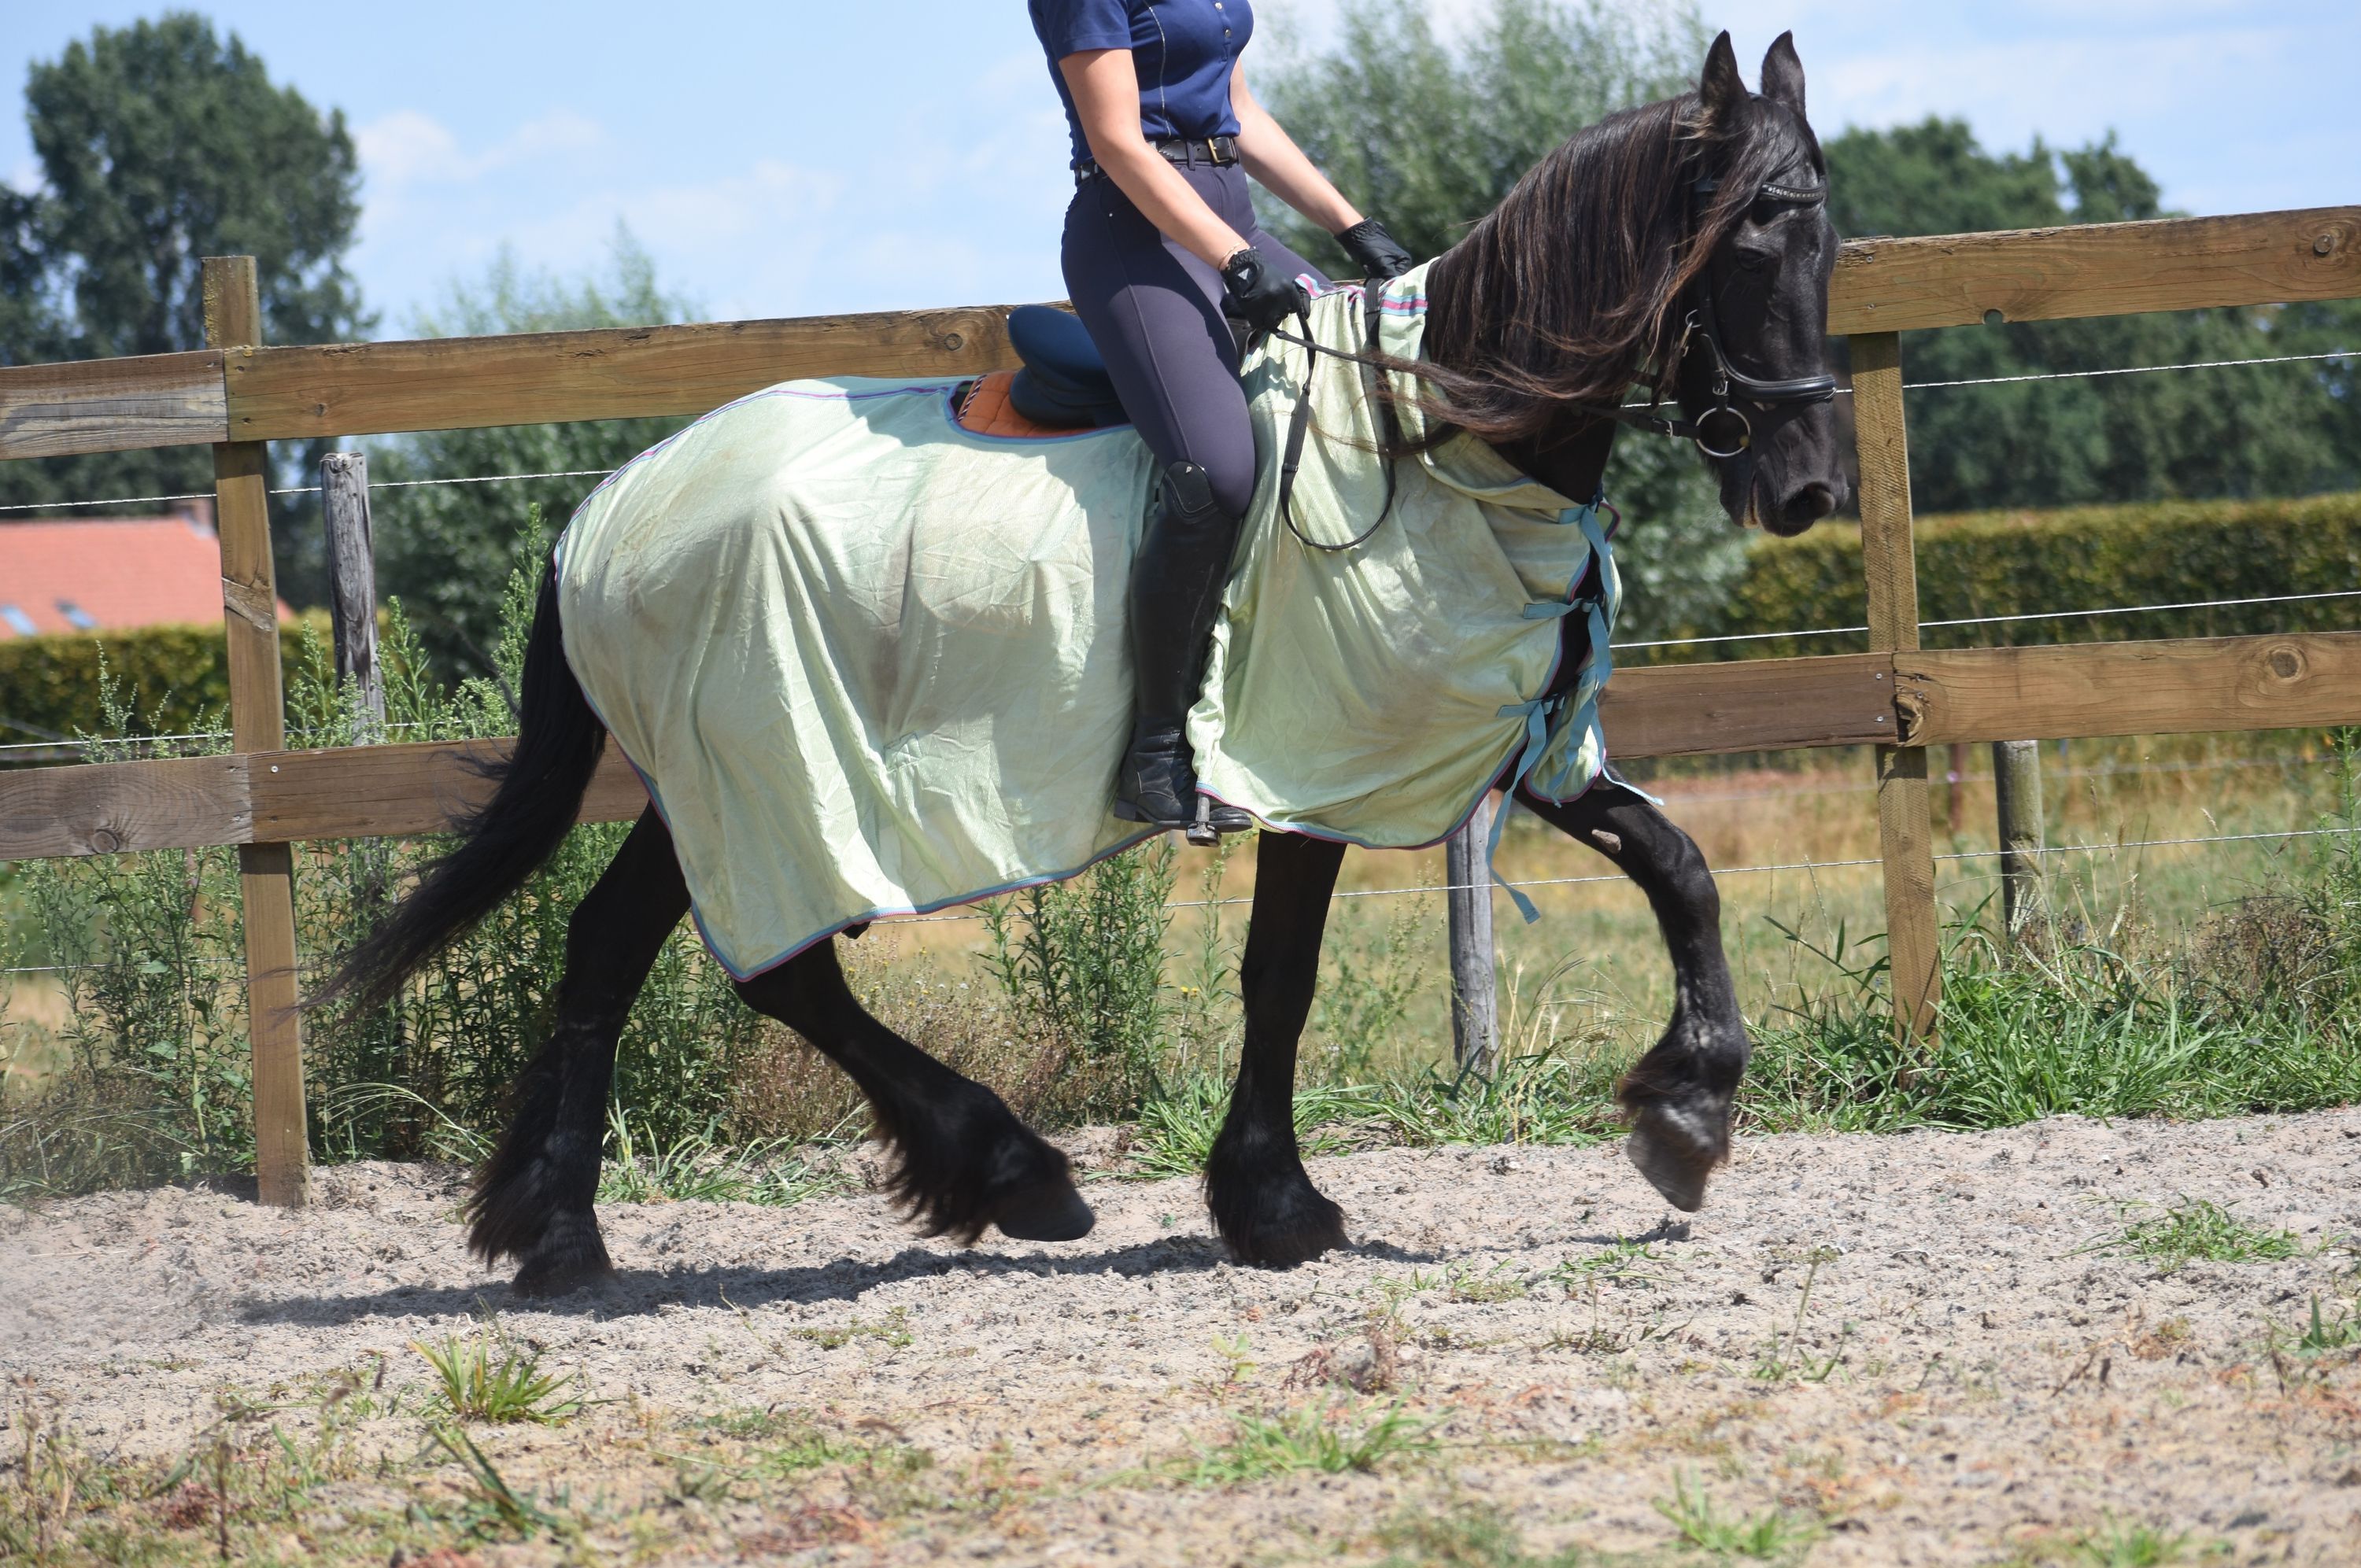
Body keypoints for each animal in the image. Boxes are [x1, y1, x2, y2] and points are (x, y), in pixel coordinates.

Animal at [317, 31, 1845, 1296]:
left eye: (1827, 250)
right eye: (1748, 252)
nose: (1809, 488)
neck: (1436, 437)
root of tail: (606, 505)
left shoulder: (1497, 735)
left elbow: (1677, 864)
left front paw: (1690, 1112)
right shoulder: (1313, 760)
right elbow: (1282, 971)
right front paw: (1276, 1205)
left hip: (711, 778)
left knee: (623, 946)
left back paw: (565, 1232)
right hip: (761, 774)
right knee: (767, 967)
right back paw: (998, 1171)